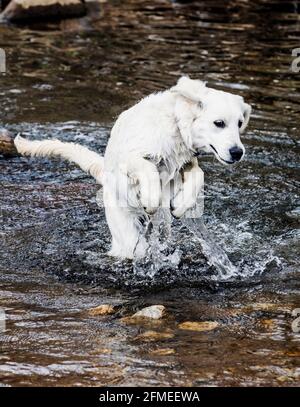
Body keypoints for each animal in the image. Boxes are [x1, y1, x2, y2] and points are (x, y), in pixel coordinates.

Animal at [15, 77, 252, 258]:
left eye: (240, 123)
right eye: (219, 123)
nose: (237, 152)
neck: (175, 125)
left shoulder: (187, 162)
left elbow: (199, 175)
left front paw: (181, 205)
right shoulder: (132, 157)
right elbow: (148, 169)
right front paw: (150, 199)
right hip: (125, 230)